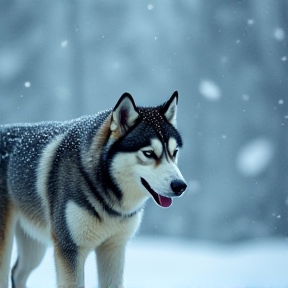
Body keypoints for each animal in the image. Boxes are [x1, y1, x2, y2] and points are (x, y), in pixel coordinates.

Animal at [0, 91, 187, 286]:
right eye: (149, 153)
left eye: (174, 152)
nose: (180, 186)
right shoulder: (69, 249)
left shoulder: (114, 247)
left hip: (35, 246)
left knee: (18, 272)